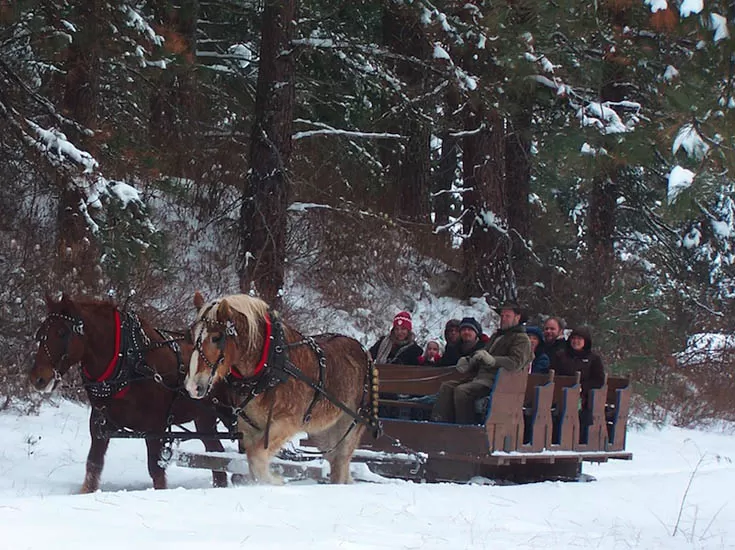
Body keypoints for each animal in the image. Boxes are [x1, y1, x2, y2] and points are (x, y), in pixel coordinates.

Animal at [29, 296, 230, 494]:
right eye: (40, 333)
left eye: (61, 332)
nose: (37, 379)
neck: (128, 361)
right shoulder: (99, 424)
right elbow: (93, 465)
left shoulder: (155, 429)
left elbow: (156, 471)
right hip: (204, 419)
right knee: (216, 457)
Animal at [185, 292, 380, 486]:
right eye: (192, 336)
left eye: (216, 338)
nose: (193, 386)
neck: (270, 364)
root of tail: (365, 352)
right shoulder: (249, 428)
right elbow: (253, 461)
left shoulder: (287, 422)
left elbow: (257, 458)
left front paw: (276, 480)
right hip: (324, 433)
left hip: (350, 426)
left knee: (341, 463)